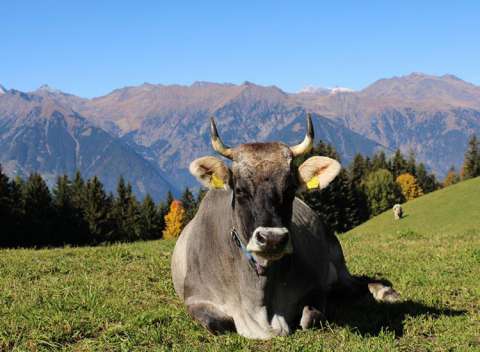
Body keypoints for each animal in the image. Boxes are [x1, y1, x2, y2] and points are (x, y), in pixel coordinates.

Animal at [171, 115, 400, 338]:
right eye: (240, 190)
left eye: (290, 189)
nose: (272, 238)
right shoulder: (195, 297)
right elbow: (218, 323)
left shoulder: (315, 287)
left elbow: (310, 316)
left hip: (337, 259)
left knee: (355, 283)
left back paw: (386, 292)